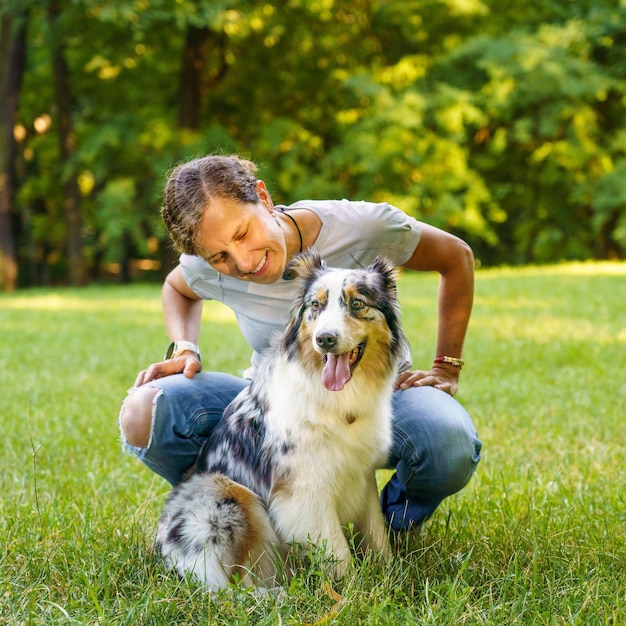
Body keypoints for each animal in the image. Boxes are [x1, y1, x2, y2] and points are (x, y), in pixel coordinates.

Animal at [157, 250, 404, 588]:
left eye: (357, 303)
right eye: (316, 305)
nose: (325, 339)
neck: (337, 400)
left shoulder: (361, 473)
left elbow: (378, 536)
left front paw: (391, 578)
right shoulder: (304, 491)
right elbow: (338, 554)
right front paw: (351, 592)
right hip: (224, 494)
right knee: (225, 585)